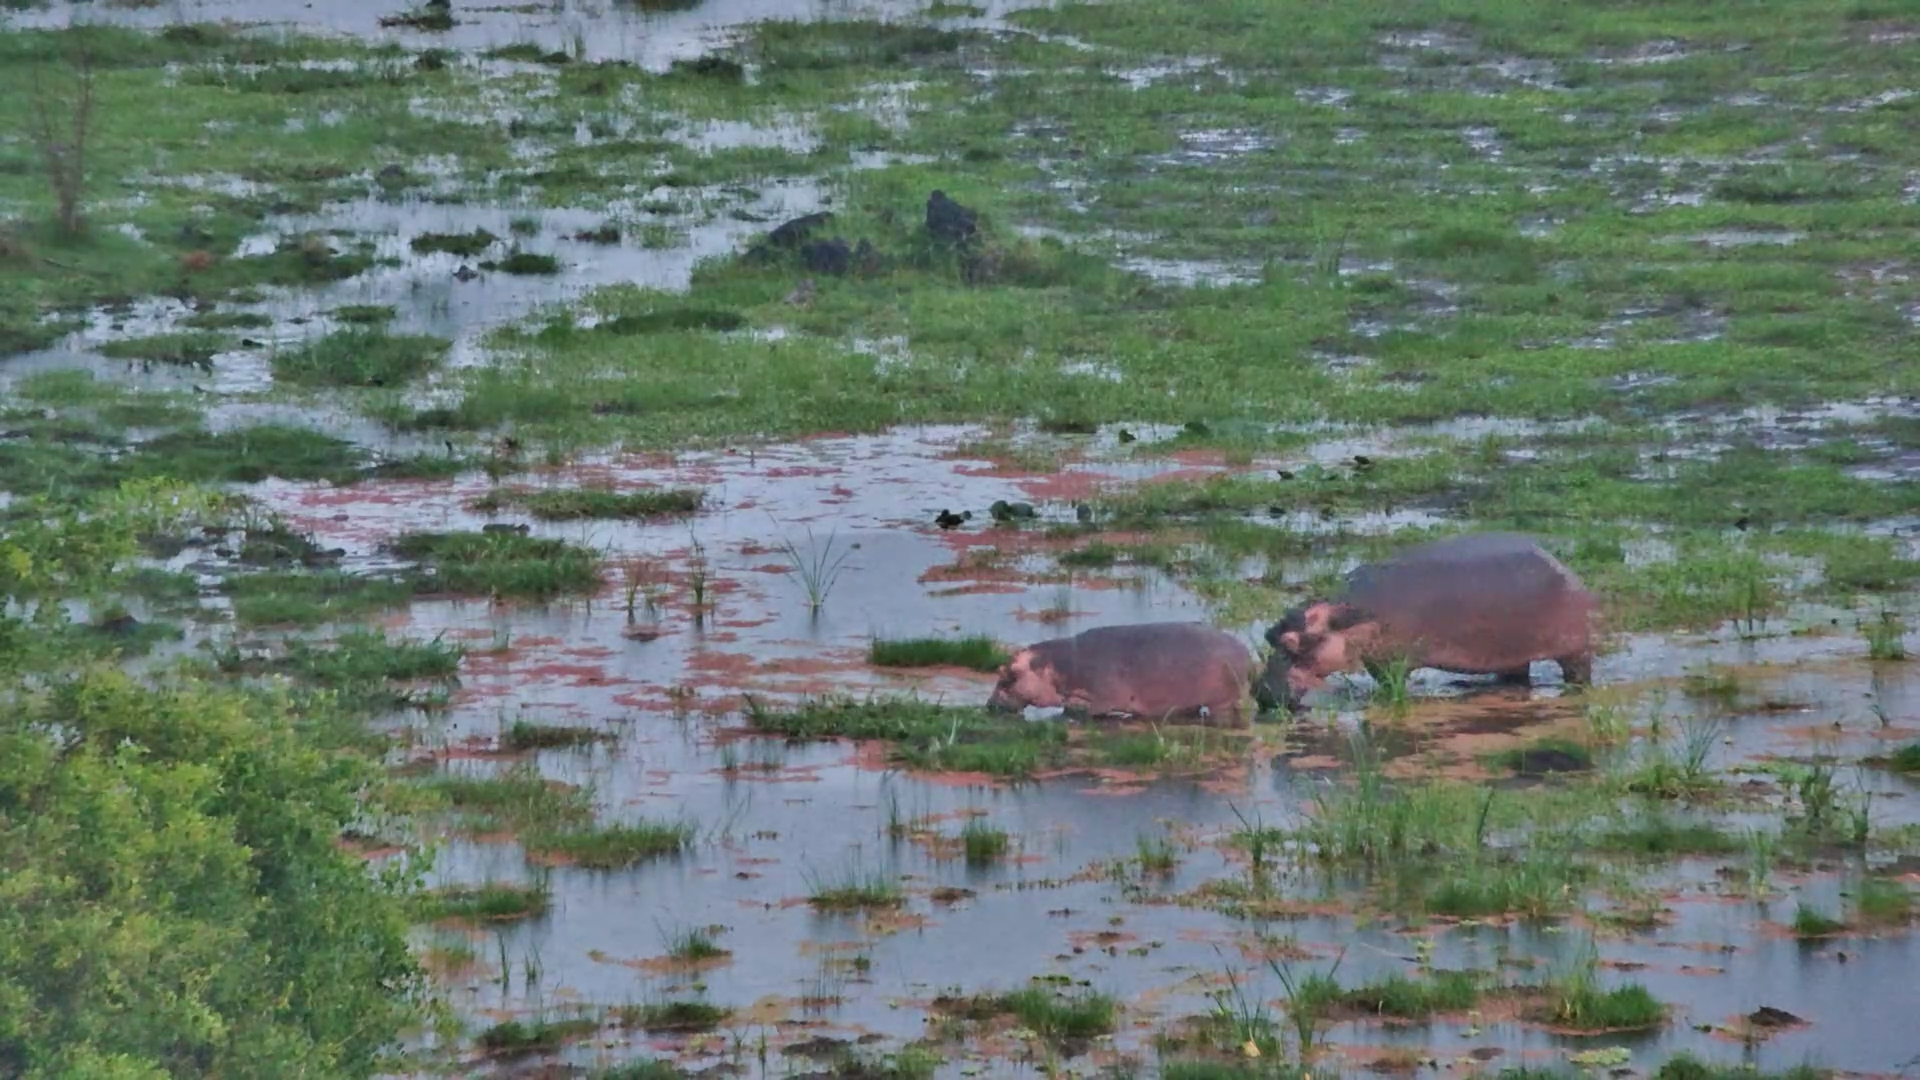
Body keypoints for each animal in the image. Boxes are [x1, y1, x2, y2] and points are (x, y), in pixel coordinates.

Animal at [987, 622, 1257, 728]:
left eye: (1008, 676)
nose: (989, 705)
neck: (1057, 665)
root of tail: (1246, 651)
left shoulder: (1102, 696)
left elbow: (1081, 709)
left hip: (1223, 700)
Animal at [1256, 532, 1598, 711]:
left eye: (1294, 642)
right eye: (1268, 634)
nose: (1262, 693)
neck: (1351, 616)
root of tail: (1563, 567)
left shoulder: (1392, 661)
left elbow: (1391, 686)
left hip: (1575, 649)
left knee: (1578, 672)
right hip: (1512, 652)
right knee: (1515, 675)